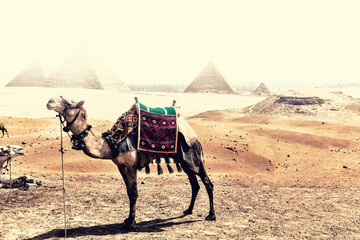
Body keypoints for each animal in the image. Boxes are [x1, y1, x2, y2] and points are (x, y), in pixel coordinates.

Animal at [47, 97, 217, 229]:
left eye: (68, 102)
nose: (50, 101)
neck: (111, 142)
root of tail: (195, 138)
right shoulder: (121, 166)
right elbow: (129, 192)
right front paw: (128, 219)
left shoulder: (131, 165)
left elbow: (134, 193)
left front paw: (131, 223)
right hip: (186, 162)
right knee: (195, 184)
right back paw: (188, 210)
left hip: (193, 157)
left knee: (207, 183)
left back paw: (211, 215)